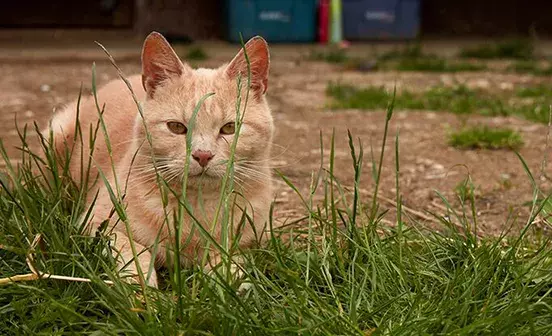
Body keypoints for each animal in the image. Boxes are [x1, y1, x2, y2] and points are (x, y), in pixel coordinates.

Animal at [46, 32, 274, 288]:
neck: (197, 207)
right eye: (176, 127)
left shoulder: (250, 243)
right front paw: (142, 288)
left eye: (229, 128)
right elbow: (134, 251)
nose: (202, 155)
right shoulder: (96, 224)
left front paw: (230, 283)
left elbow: (228, 262)